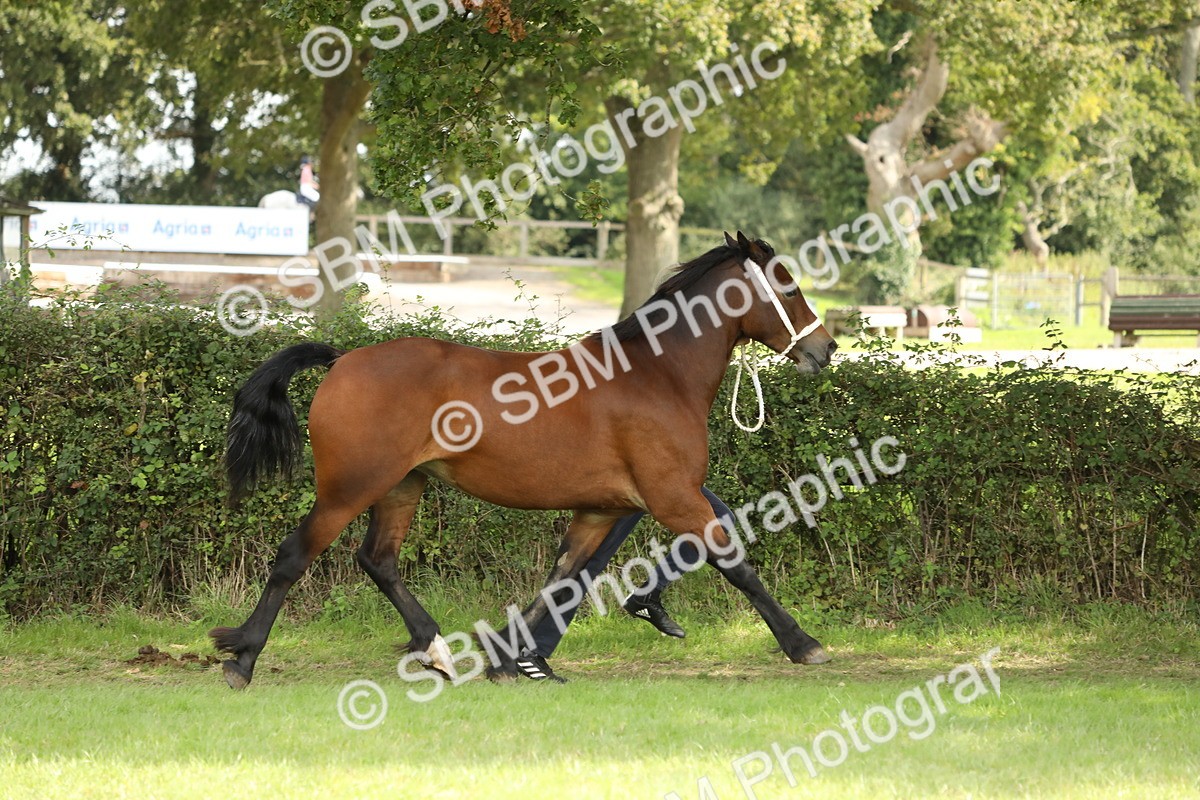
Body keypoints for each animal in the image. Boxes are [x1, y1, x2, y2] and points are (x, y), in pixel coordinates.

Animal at [209, 231, 839, 689]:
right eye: (787, 288)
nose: (825, 348)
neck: (658, 375)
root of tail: (343, 360)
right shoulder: (674, 497)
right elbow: (736, 564)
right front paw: (803, 644)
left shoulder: (602, 511)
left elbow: (560, 582)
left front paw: (511, 662)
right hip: (350, 487)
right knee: (294, 557)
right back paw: (243, 659)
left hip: (402, 486)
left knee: (378, 560)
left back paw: (437, 650)